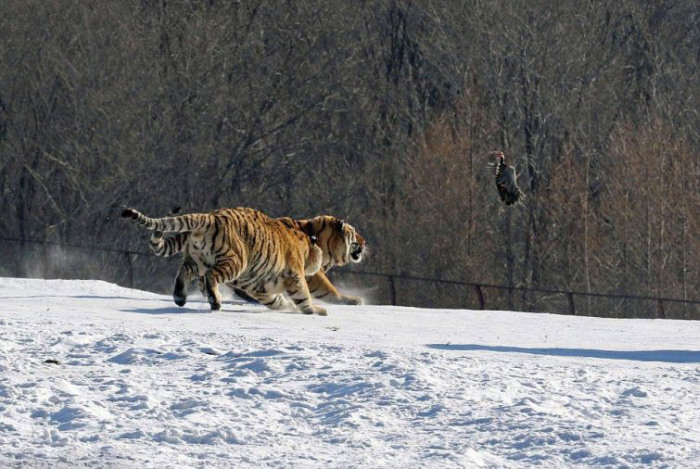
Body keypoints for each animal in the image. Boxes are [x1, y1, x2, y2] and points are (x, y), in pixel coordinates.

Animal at [119, 207, 326, 314]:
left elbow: (275, 300)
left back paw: (179, 297)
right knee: (211, 277)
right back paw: (215, 302)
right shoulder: (293, 275)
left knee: (183, 272)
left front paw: (287, 307)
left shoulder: (260, 287)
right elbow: (303, 296)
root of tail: (210, 217)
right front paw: (315, 311)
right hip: (234, 261)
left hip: (196, 261)